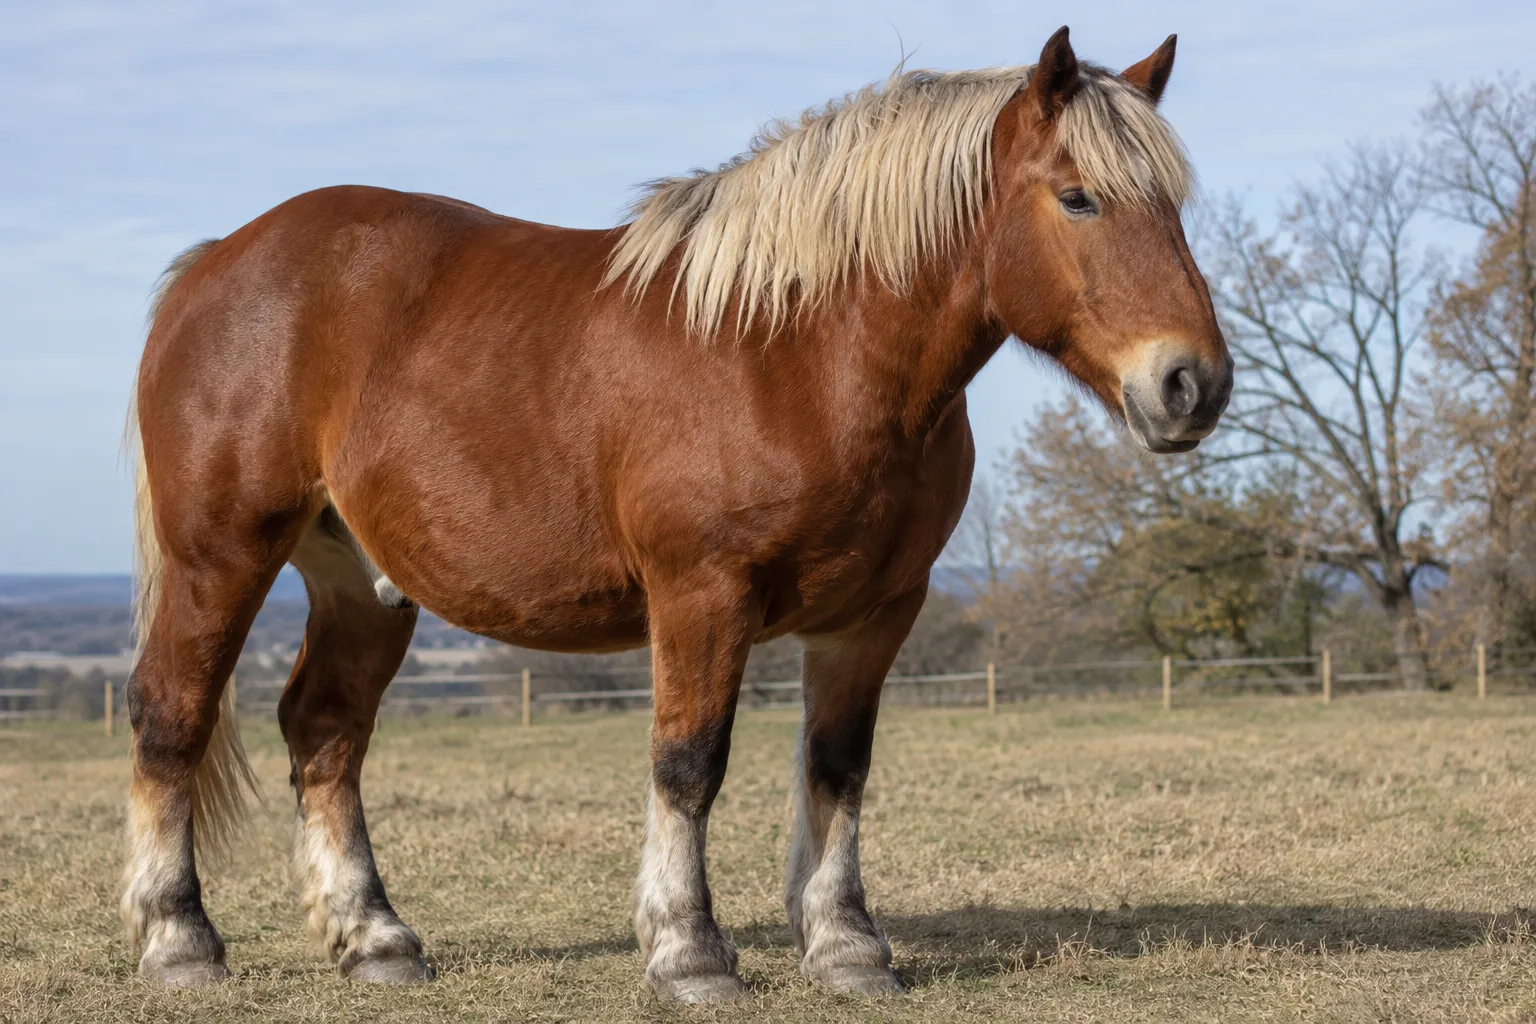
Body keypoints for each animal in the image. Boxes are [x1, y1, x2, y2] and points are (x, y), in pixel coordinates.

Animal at [119, 26, 1230, 1002]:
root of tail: (217, 263)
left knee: (326, 730)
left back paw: (376, 939)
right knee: (171, 715)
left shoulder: (876, 612)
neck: (797, 351)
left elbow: (838, 767)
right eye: (1078, 198)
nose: (1193, 384)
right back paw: (179, 941)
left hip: (361, 583)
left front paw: (847, 949)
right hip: (219, 558)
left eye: (1174, 206)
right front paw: (691, 953)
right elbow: (689, 763)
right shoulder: (703, 595)